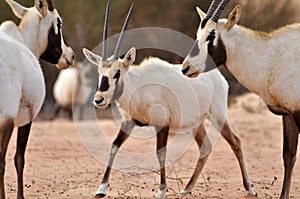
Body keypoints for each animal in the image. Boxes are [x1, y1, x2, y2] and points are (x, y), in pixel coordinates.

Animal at [0, 0, 74, 198]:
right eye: (59, 23)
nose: (71, 56)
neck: (22, 40)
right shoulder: (27, 119)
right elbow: (19, 159)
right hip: (6, 120)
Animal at [82, 1, 255, 197]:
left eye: (117, 73)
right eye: (100, 72)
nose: (99, 99)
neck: (138, 86)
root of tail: (218, 78)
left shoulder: (161, 124)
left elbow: (160, 153)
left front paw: (162, 190)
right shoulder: (128, 122)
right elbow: (114, 146)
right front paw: (101, 188)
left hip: (218, 117)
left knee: (236, 142)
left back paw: (249, 187)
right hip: (196, 124)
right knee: (205, 148)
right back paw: (187, 189)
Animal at [182, 0, 300, 198]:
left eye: (211, 35)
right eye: (198, 34)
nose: (185, 68)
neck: (271, 56)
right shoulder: (289, 114)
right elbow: (288, 156)